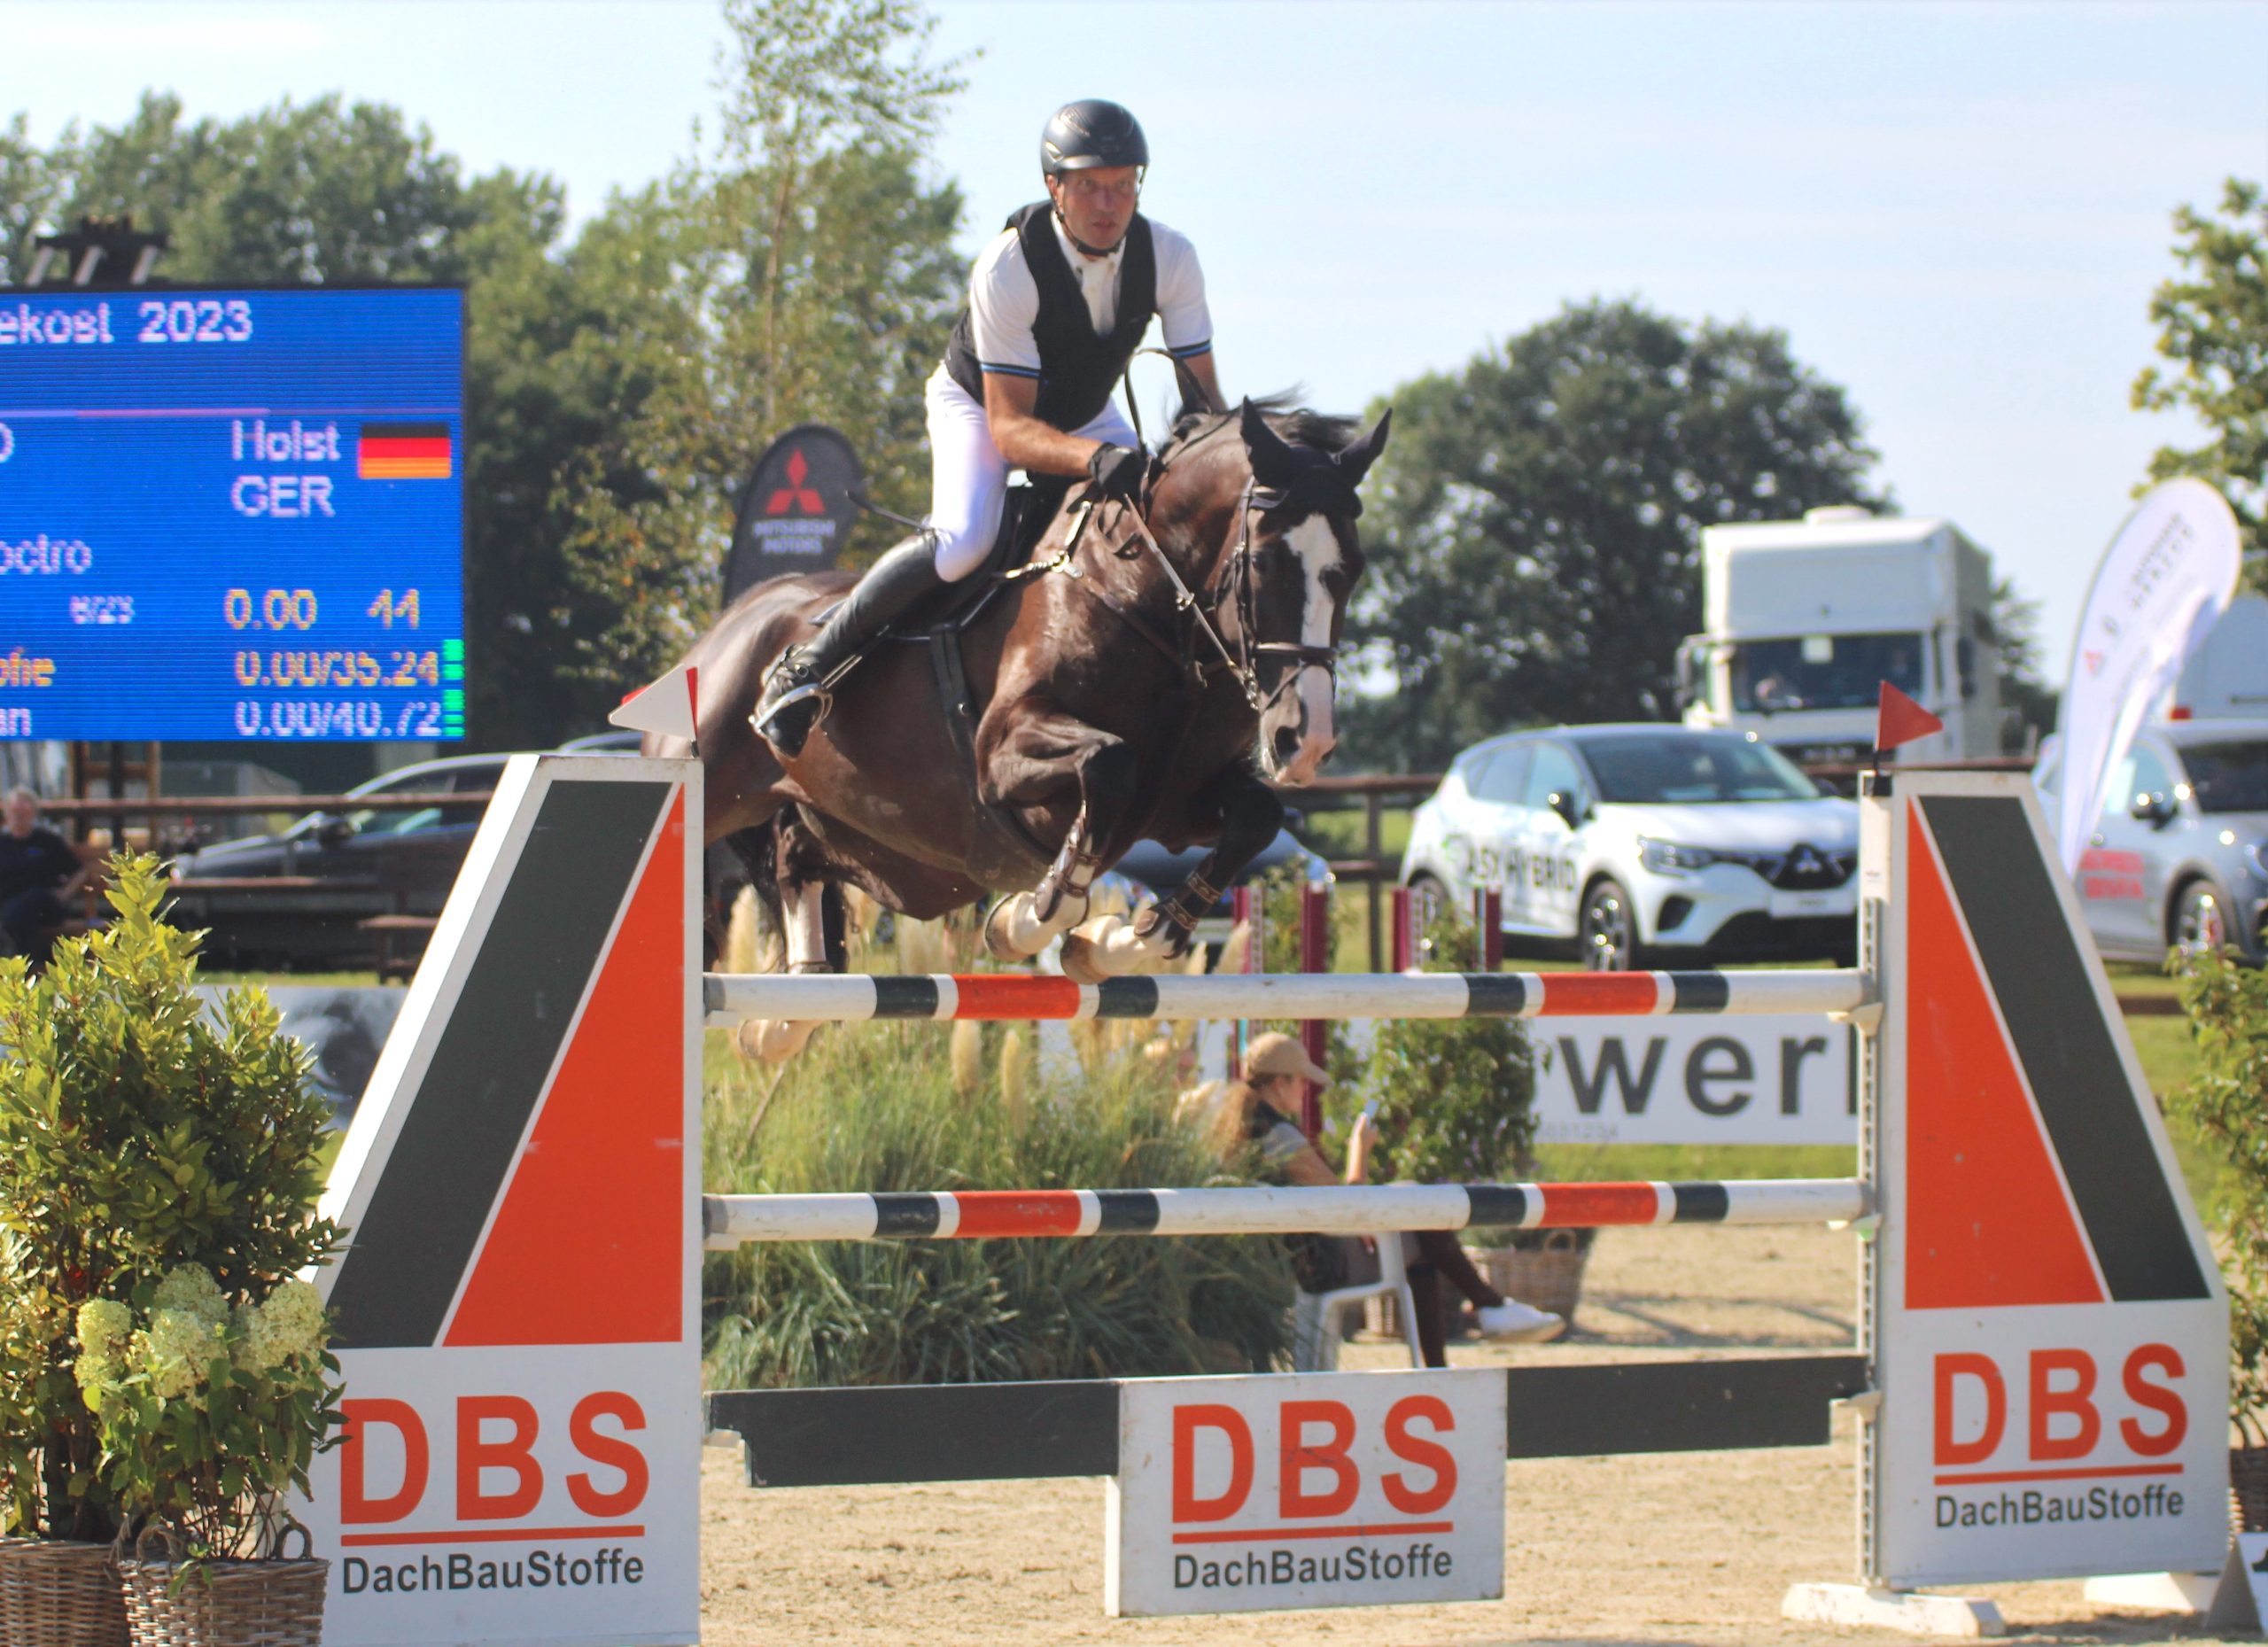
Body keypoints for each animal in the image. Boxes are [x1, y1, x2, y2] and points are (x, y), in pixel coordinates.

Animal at [639, 399, 1379, 1057]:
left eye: (1352, 570)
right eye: (1266, 561)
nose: (1305, 740)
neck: (1146, 601)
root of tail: (727, 623)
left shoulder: (1175, 806)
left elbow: (1253, 814)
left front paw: (1120, 940)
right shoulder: (1001, 757)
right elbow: (1108, 768)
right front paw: (1033, 916)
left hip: (851, 829)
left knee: (794, 858)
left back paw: (785, 1021)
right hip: (715, 781)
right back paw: (791, 690)